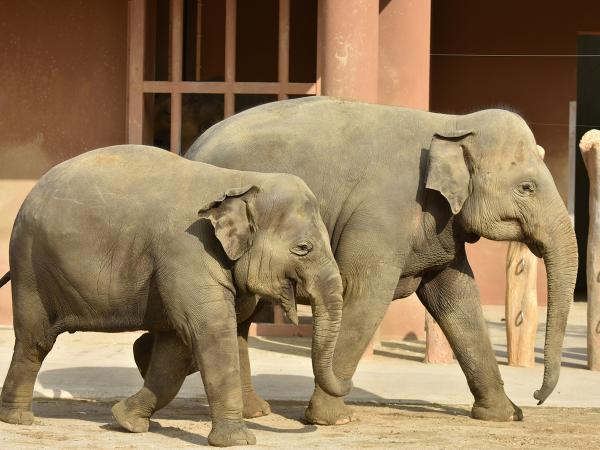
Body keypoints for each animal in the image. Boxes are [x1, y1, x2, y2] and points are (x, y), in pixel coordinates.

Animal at [0, 145, 350, 446]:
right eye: (303, 248)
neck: (240, 180)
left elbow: (175, 349)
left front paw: (128, 421)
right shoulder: (187, 251)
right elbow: (210, 333)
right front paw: (238, 441)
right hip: (30, 265)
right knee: (36, 341)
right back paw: (19, 419)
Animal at [183, 96, 576, 424]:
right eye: (527, 187)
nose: (537, 396)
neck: (450, 123)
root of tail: (194, 145)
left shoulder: (441, 227)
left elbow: (458, 299)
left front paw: (503, 415)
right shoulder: (383, 214)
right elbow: (365, 295)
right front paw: (334, 419)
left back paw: (255, 412)